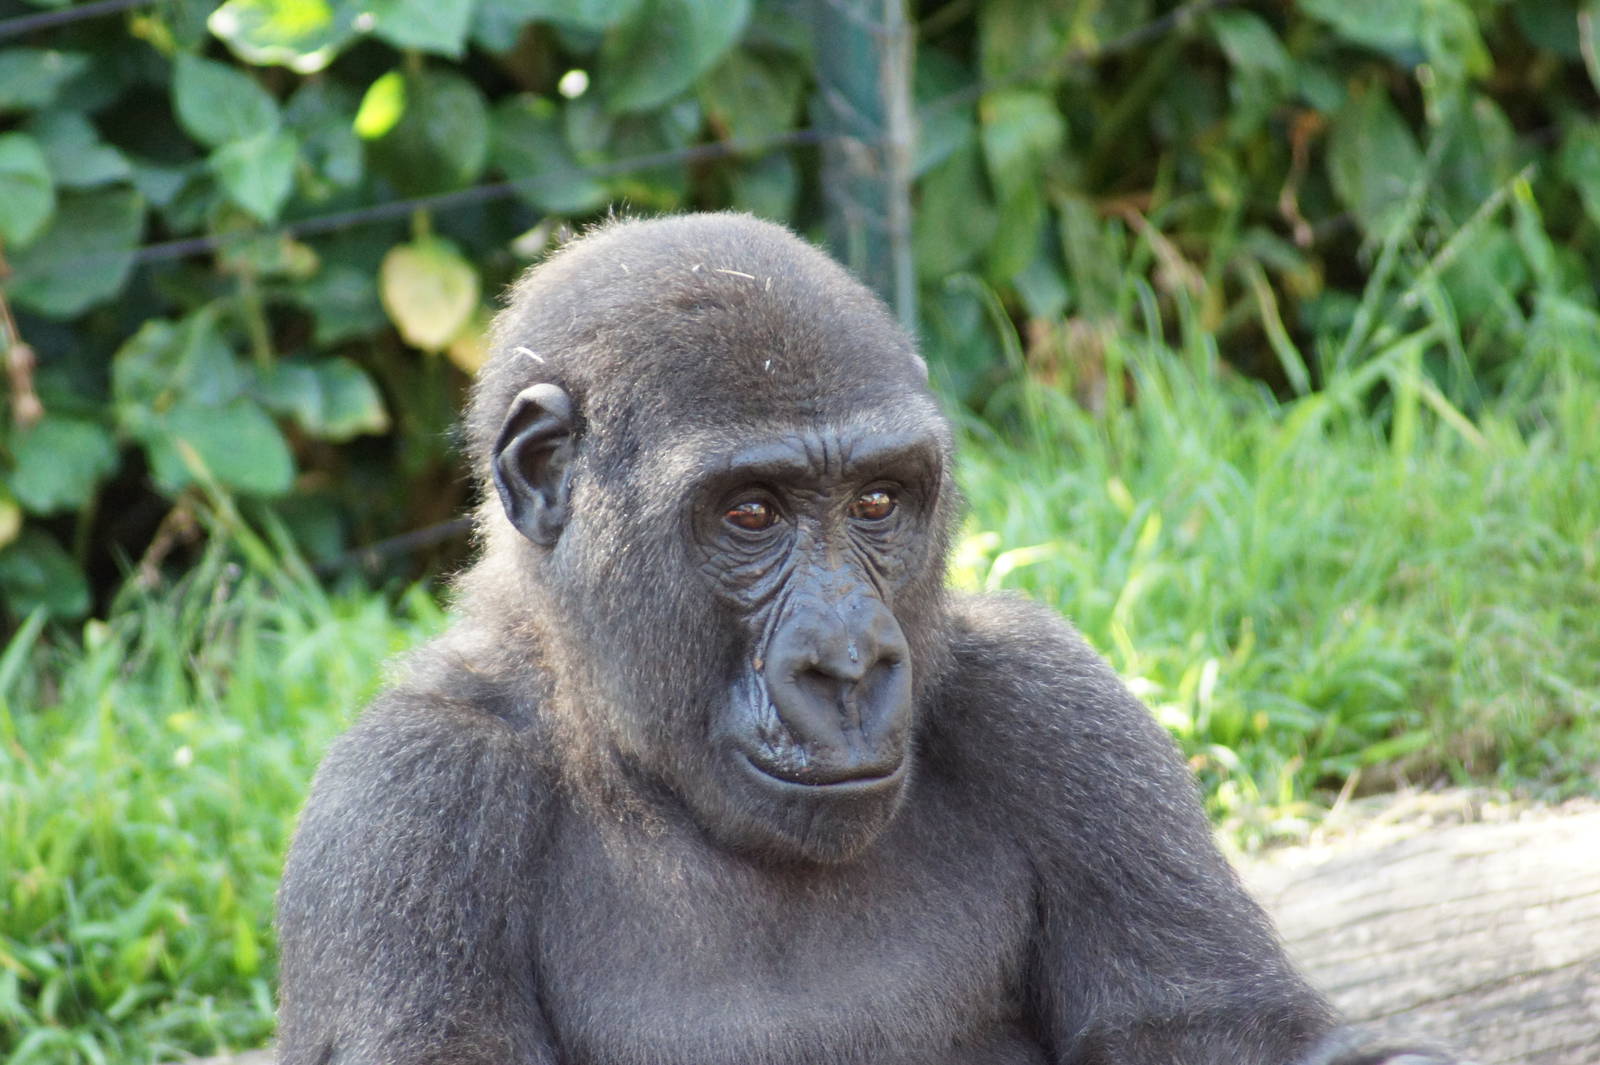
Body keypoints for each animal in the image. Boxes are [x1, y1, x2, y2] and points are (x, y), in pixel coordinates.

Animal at [276, 212, 1462, 1065]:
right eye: (751, 512)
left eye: (881, 501)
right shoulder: (407, 801)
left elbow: (1215, 1030)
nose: (847, 663)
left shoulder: (1053, 700)